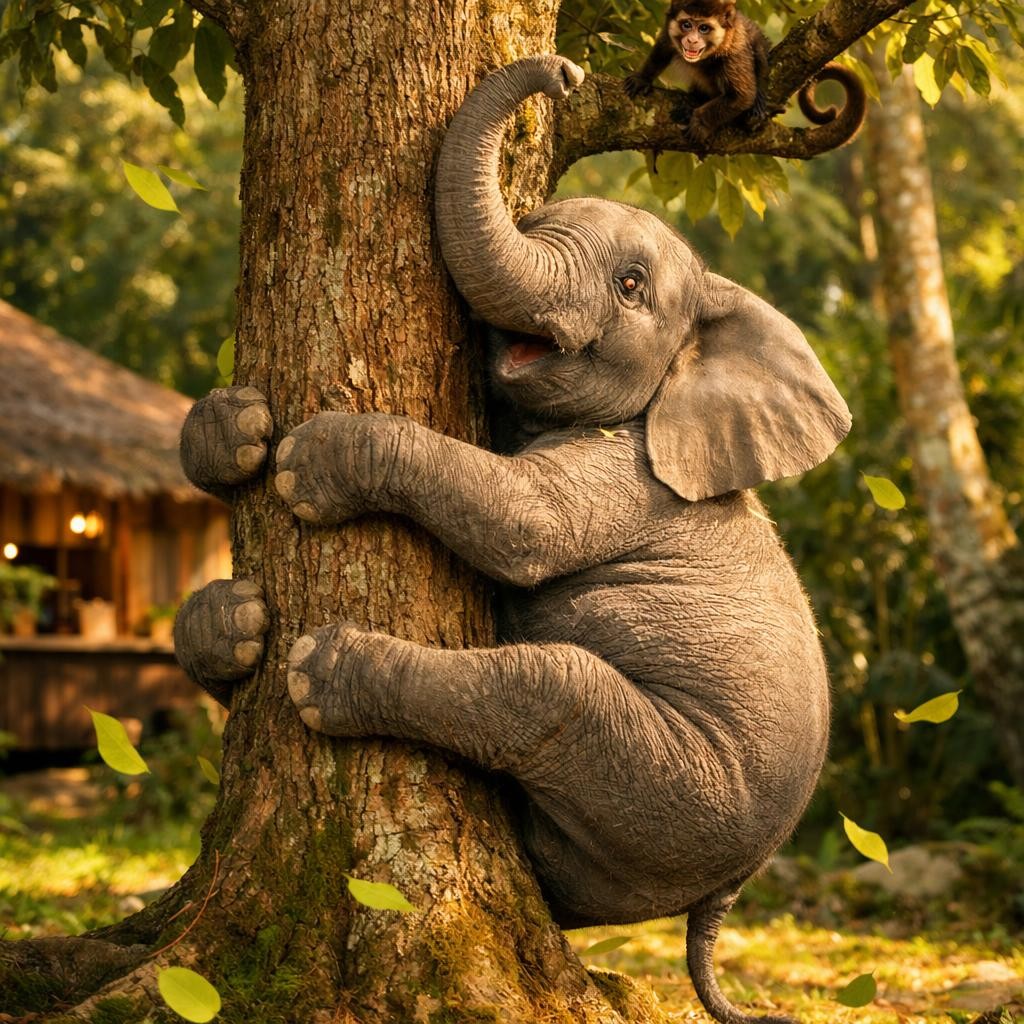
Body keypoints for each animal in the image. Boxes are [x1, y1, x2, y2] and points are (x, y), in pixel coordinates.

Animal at [173, 55, 851, 1024]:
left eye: (632, 285)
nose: (565, 72)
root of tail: (726, 894)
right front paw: (236, 426)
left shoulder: (633, 482)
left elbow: (525, 521)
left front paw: (309, 461)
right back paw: (228, 627)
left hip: (685, 800)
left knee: (554, 690)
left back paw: (320, 672)